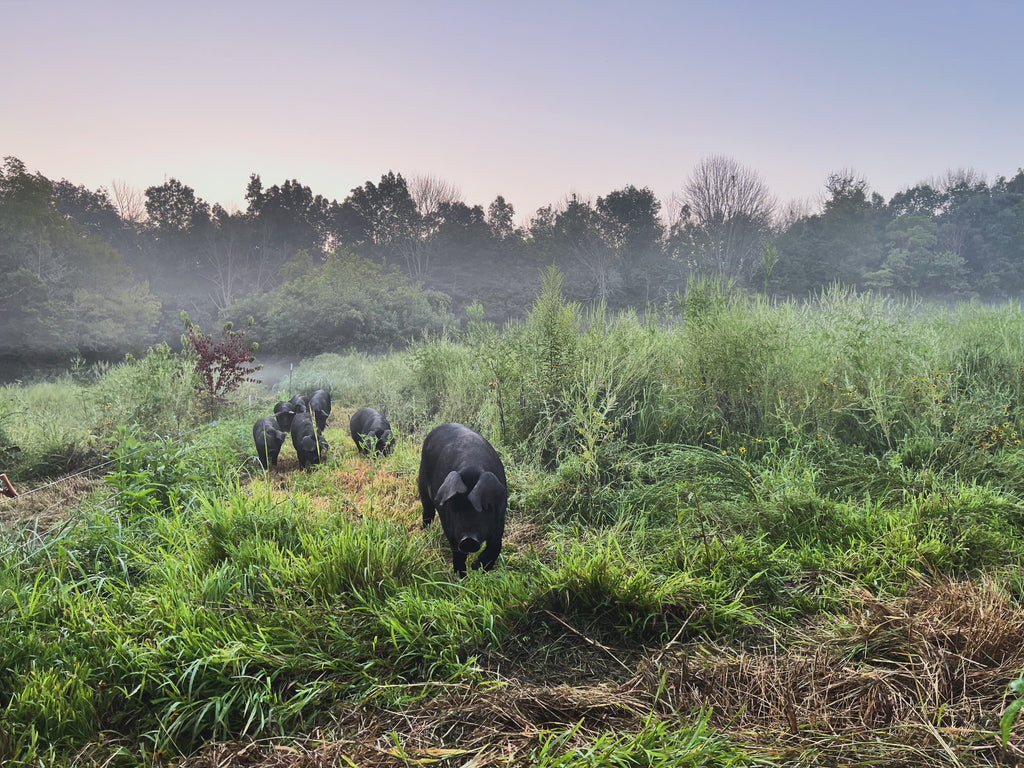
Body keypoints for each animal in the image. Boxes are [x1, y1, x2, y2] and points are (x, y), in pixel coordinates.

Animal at [415, 421, 507, 577]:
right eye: (455, 506)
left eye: (484, 507)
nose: (468, 539)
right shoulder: (449, 524)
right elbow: (457, 552)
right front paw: (462, 576)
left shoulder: (500, 517)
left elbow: (496, 545)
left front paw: (477, 568)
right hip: (422, 485)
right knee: (427, 513)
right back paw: (424, 533)